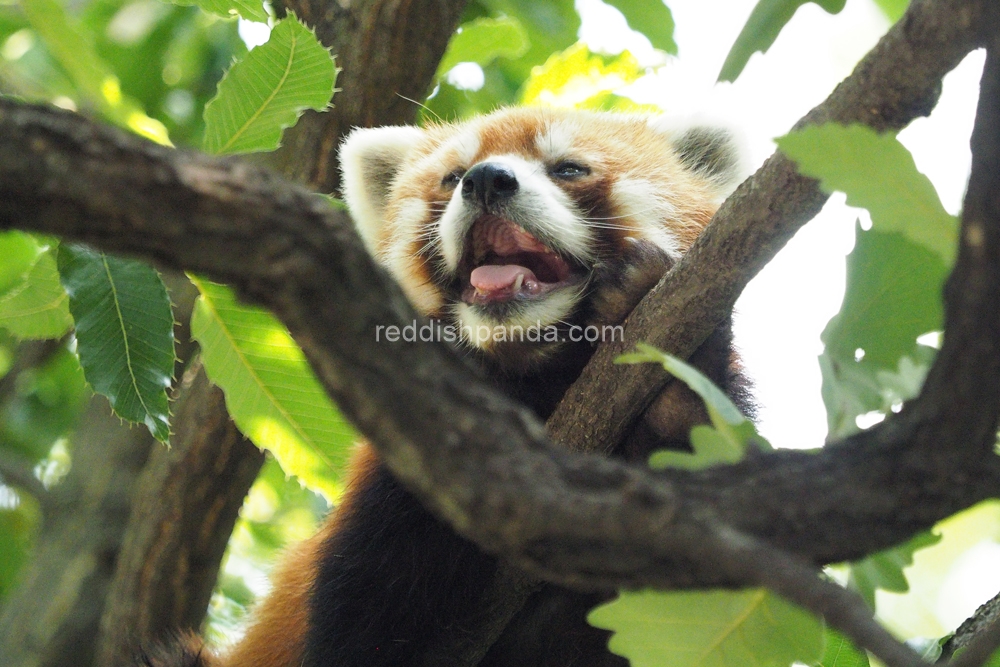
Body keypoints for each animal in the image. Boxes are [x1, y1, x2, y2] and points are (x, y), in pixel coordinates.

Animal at [143, 107, 752, 667]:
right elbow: (366, 627)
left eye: (569, 168)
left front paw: (671, 391)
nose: (486, 180)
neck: (533, 381)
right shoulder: (393, 493)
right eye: (452, 176)